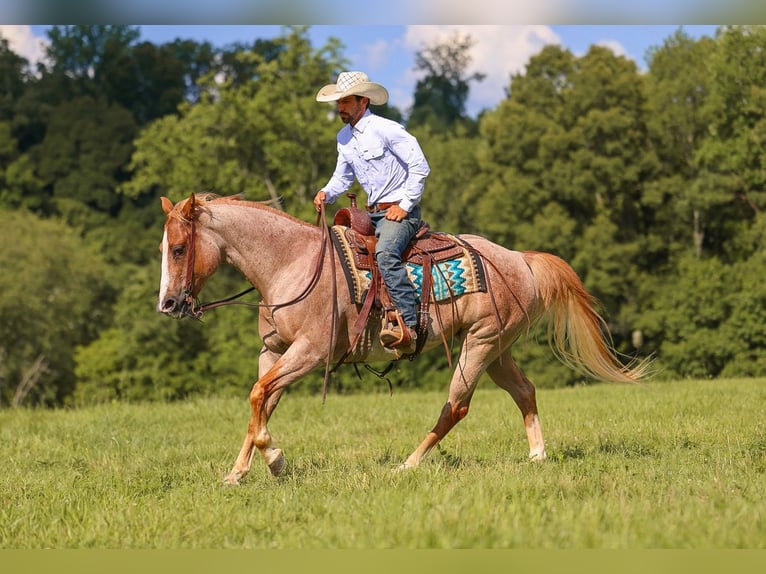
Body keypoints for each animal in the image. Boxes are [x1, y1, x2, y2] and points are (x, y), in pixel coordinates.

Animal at [157, 192, 651, 485]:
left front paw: (275, 459)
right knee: (524, 391)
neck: (290, 264)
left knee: (457, 405)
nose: (168, 304)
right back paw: (537, 456)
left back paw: (409, 464)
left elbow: (259, 397)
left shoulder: (311, 353)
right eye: (165, 248)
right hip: (498, 348)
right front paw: (237, 474)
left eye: (179, 248)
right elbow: (260, 400)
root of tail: (520, 259)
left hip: (480, 344)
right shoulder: (274, 351)